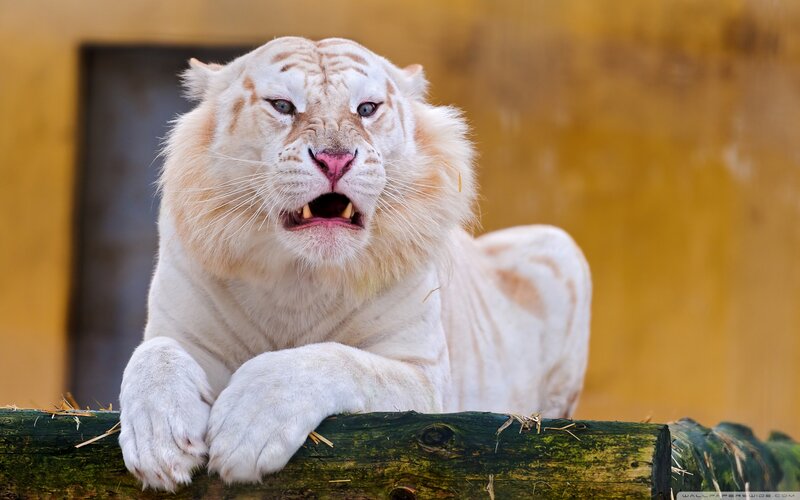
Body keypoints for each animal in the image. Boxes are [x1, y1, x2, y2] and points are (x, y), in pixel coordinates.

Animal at [118, 36, 591, 490]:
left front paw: (244, 429)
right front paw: (159, 445)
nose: (335, 159)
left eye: (366, 108)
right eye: (282, 105)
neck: (299, 276)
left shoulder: (424, 376)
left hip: (560, 246)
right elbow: (152, 355)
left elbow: (337, 360)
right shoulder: (181, 331)